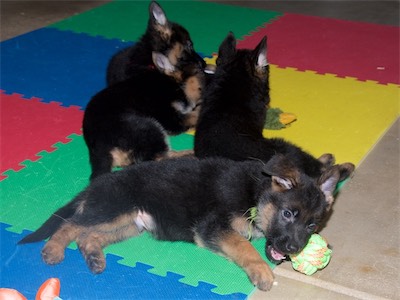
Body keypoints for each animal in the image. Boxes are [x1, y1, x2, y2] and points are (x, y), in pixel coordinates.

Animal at [18, 155, 346, 290]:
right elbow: (244, 247)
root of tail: (97, 184)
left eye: (312, 226)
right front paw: (261, 272)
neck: (256, 194)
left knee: (88, 235)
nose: (293, 249)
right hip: (114, 210)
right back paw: (53, 250)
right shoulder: (213, 228)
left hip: (130, 222)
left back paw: (94, 257)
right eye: (288, 214)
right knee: (71, 224)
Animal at [83, 50, 205, 179]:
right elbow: (194, 114)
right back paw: (190, 153)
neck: (173, 83)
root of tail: (101, 149)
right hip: (149, 127)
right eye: (199, 70)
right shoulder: (172, 120)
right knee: (160, 158)